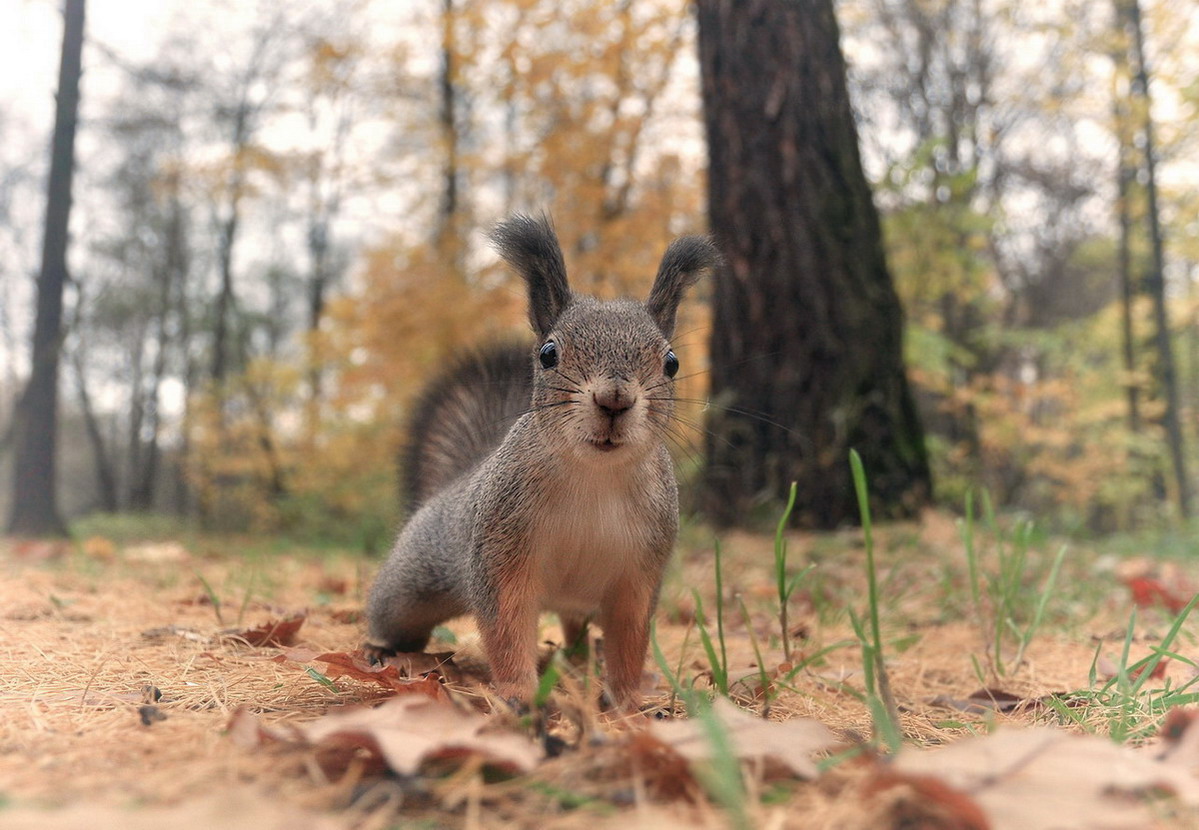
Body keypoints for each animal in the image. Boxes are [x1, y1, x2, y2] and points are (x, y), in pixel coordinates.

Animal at [364, 211, 719, 710]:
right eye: (549, 354)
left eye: (672, 362)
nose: (615, 399)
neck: (596, 476)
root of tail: (462, 477)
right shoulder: (500, 549)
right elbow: (507, 626)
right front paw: (520, 694)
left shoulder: (642, 565)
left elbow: (631, 635)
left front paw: (628, 701)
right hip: (410, 583)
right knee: (392, 613)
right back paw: (379, 649)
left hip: (579, 603)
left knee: (576, 631)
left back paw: (578, 662)